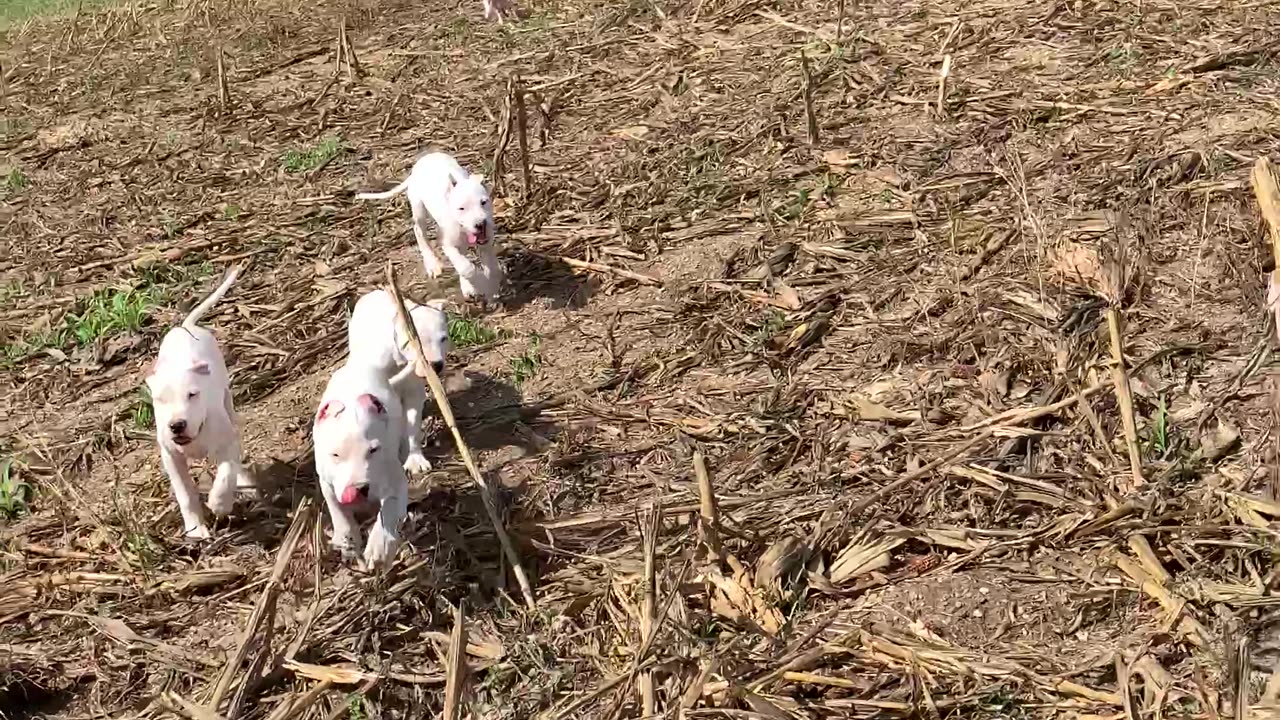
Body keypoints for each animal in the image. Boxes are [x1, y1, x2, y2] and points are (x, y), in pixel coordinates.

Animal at [145, 266, 244, 535]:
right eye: (160, 400)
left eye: (192, 394)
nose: (176, 425)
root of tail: (185, 327)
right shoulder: (171, 457)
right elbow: (185, 493)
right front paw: (195, 530)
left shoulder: (227, 442)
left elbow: (227, 473)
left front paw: (219, 504)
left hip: (227, 400)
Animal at [311, 361, 414, 563]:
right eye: (335, 455)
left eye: (373, 450)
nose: (358, 489)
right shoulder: (326, 482)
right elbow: (338, 511)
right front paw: (347, 541)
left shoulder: (395, 480)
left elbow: (389, 508)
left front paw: (379, 547)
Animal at [348, 288, 453, 474]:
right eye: (416, 343)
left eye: (443, 339)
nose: (436, 365)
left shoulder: (413, 396)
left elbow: (412, 429)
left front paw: (414, 458)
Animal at [358, 149, 506, 298]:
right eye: (461, 208)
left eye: (484, 202)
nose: (480, 224)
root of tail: (423, 160)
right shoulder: (448, 244)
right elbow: (466, 268)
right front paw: (481, 284)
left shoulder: (486, 241)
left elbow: (491, 267)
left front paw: (490, 286)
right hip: (419, 209)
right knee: (419, 231)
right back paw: (432, 263)